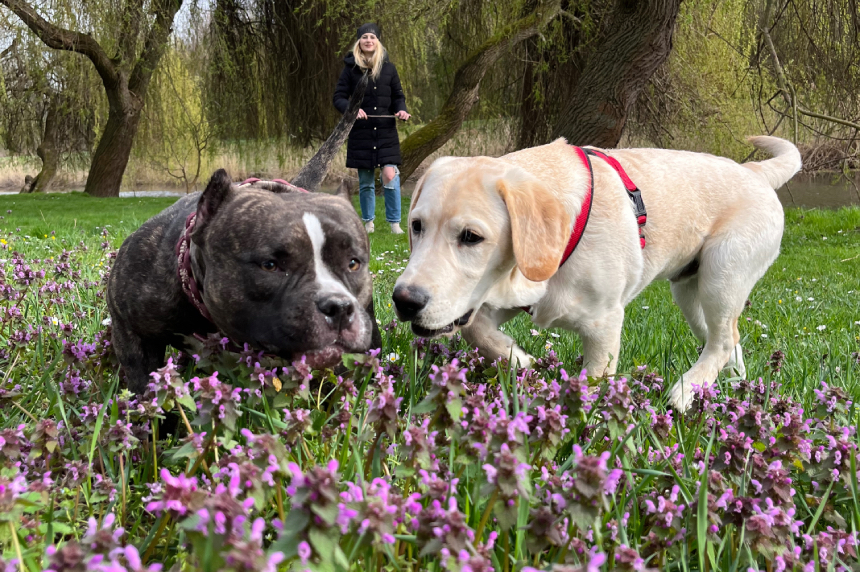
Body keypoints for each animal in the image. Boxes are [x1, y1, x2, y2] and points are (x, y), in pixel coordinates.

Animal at [394, 136, 804, 408]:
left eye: (471, 236)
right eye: (416, 225)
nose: (404, 300)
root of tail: (753, 171)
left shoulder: (603, 324)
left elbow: (591, 383)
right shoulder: (511, 295)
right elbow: (476, 329)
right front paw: (519, 359)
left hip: (723, 274)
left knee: (722, 340)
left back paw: (685, 391)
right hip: (689, 291)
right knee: (727, 341)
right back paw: (731, 388)